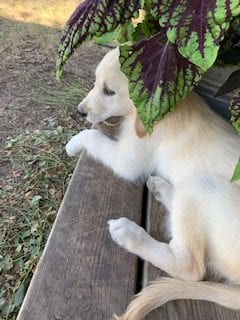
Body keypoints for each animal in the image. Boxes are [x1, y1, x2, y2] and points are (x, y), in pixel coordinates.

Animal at [65, 48, 240, 320]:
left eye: (109, 91)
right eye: (95, 82)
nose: (80, 111)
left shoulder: (128, 159)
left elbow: (93, 135)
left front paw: (73, 143)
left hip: (201, 185)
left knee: (190, 267)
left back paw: (129, 234)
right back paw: (163, 188)